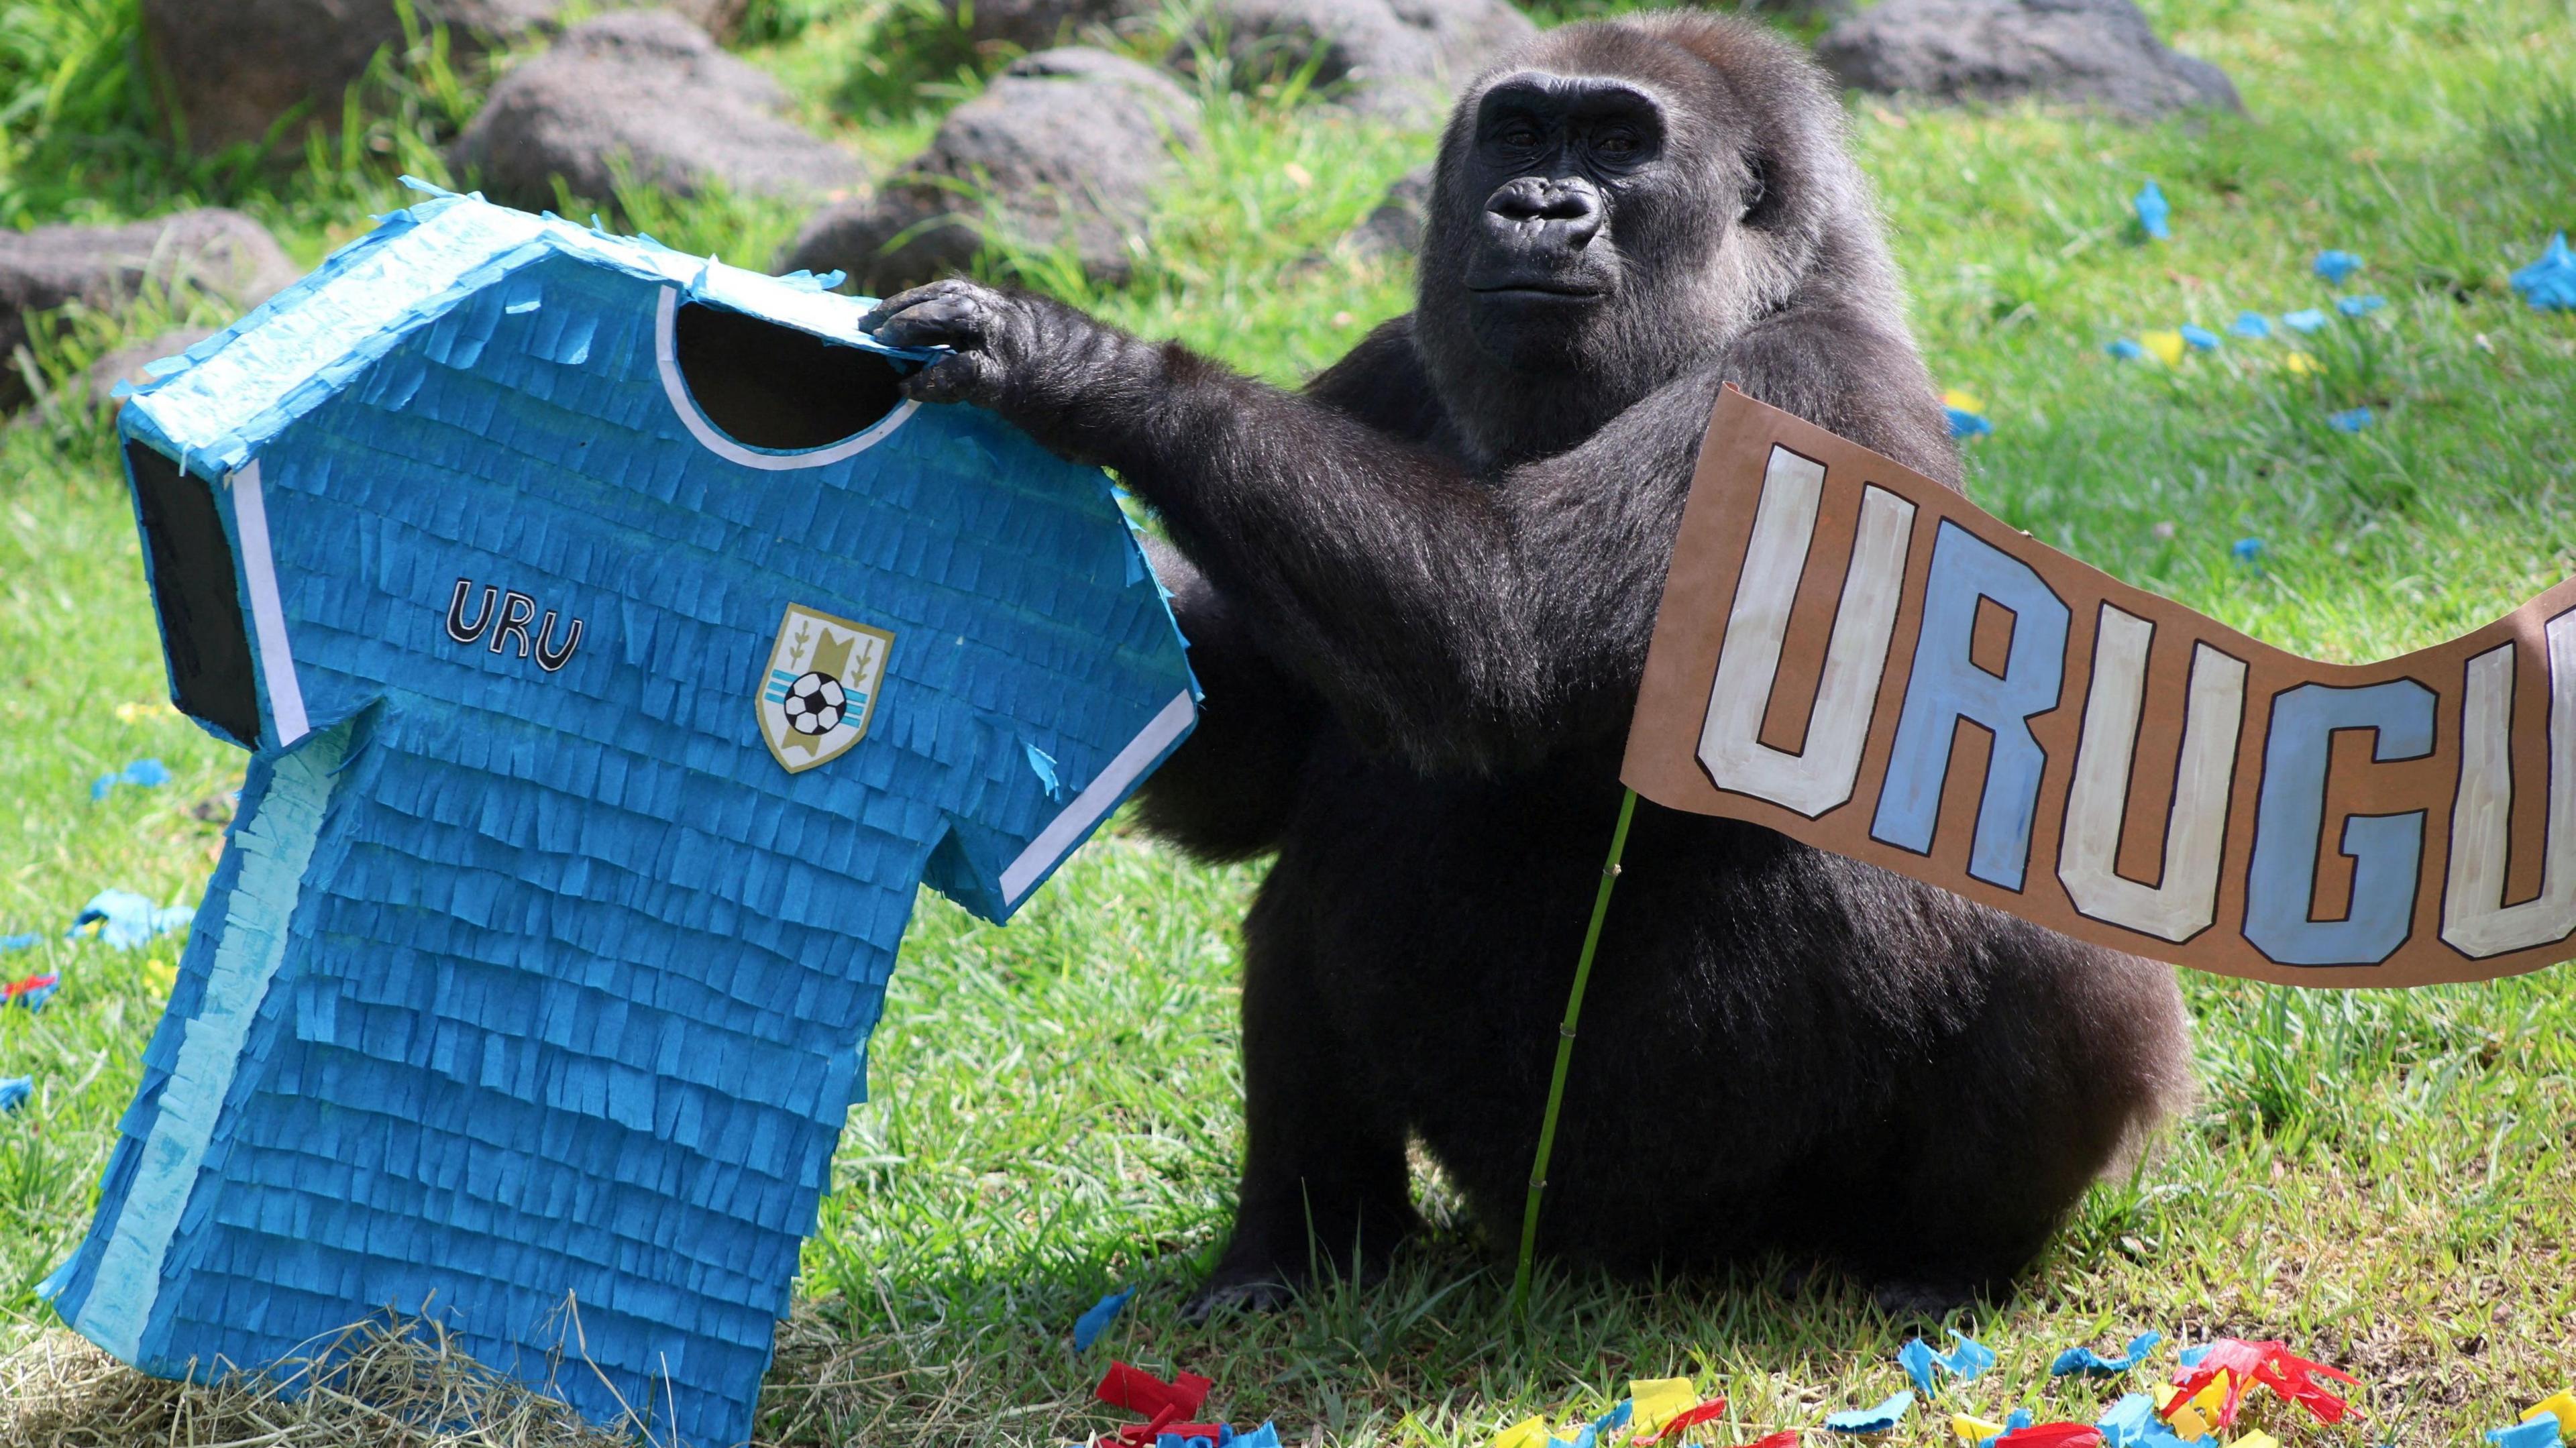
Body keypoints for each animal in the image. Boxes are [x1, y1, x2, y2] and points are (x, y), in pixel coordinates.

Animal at [862, 10, 2191, 1313]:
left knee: (2047, 929)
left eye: (1615, 142)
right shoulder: (1389, 362)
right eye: (1520, 133)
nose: (1541, 206)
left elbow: (1510, 633)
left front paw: (1077, 367)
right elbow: (1260, 772)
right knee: (1302, 892)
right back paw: (1300, 1247)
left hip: (1752, 1209)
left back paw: (1944, 1260)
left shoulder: (1803, 390)